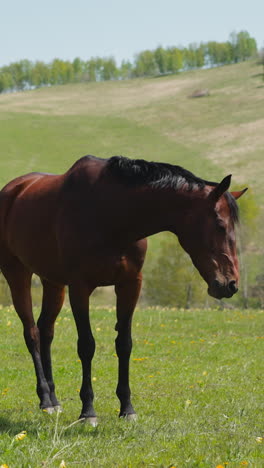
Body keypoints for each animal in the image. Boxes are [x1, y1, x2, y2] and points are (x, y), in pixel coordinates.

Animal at [0, 154, 248, 424]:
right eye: (220, 225)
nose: (230, 284)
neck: (112, 215)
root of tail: (13, 189)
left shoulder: (130, 284)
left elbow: (124, 344)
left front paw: (127, 408)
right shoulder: (80, 286)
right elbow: (86, 346)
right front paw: (88, 411)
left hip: (52, 281)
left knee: (46, 331)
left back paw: (54, 400)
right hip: (18, 274)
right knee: (32, 333)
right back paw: (45, 399)